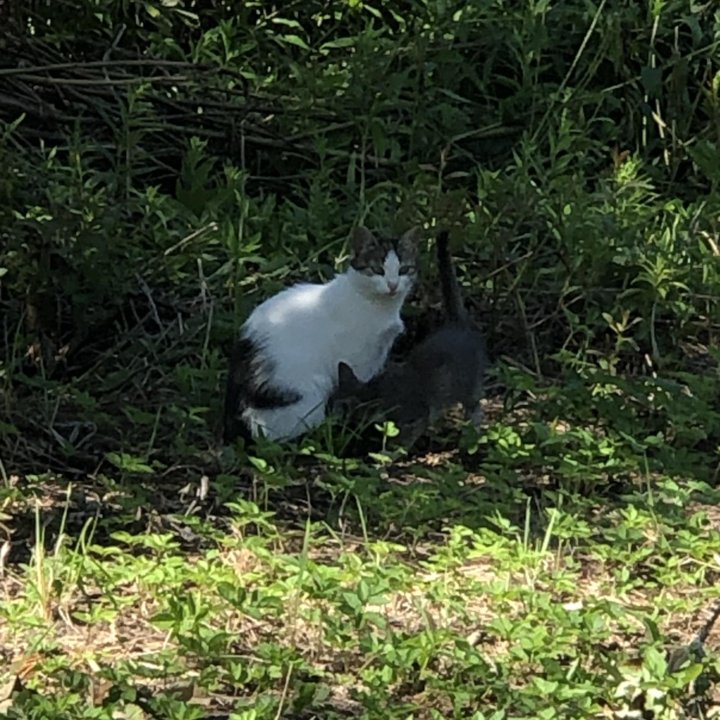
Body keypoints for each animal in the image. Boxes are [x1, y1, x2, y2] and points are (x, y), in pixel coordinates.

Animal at [222, 225, 420, 442]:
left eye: (404, 270)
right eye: (378, 270)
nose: (393, 285)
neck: (378, 306)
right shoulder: (357, 360)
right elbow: (358, 385)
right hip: (312, 389)